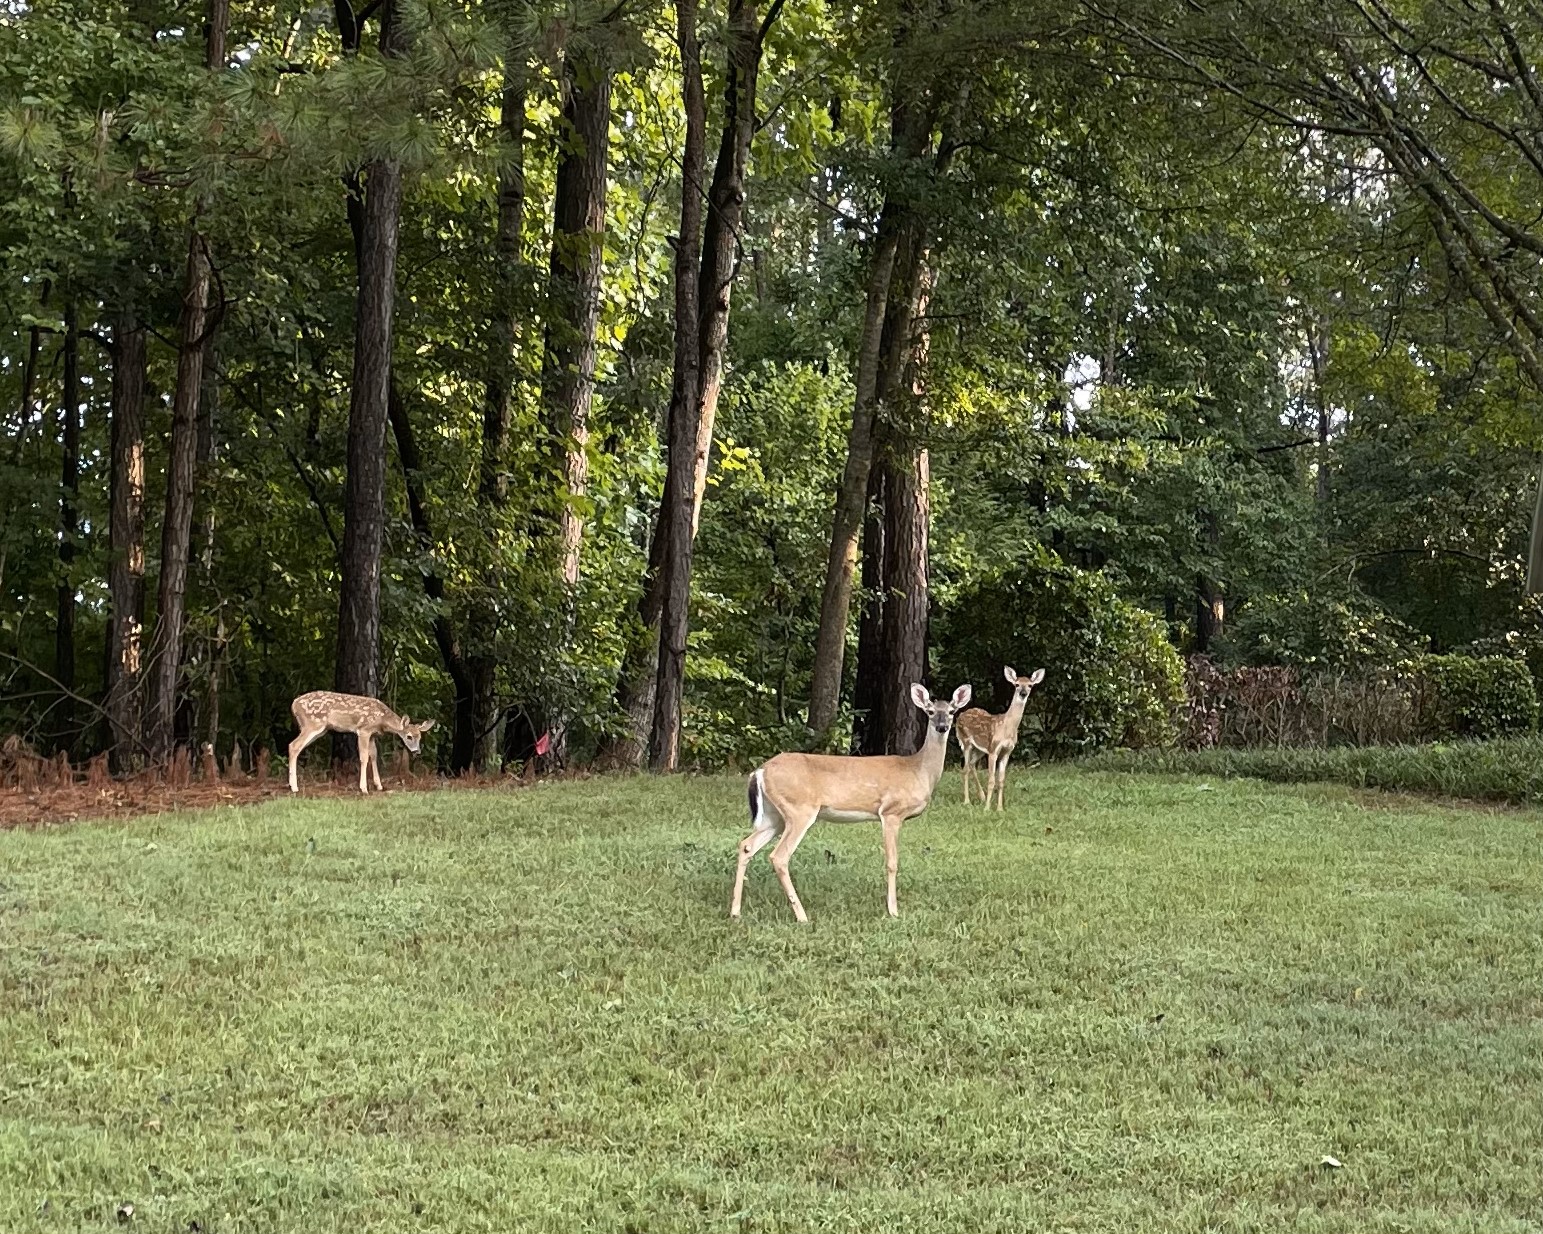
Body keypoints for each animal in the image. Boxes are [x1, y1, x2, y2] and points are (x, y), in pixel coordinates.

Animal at [286, 687, 435, 795]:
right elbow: (364, 757)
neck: (382, 719)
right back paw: (294, 787)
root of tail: (293, 704)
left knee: (295, 746)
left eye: (420, 737)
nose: (417, 751)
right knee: (293, 745)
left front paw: (379, 786)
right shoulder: (363, 730)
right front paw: (363, 788)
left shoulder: (373, 735)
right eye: (409, 736)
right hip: (313, 724)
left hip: (319, 729)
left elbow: (374, 755)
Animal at [728, 678, 969, 919]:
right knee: (779, 856)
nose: (941, 726)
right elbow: (892, 862)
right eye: (930, 711)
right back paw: (802, 916)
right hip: (799, 809)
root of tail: (760, 771)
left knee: (746, 845)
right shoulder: (891, 812)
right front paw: (893, 911)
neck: (918, 770)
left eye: (951, 711)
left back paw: (735, 912)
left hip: (775, 815)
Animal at [950, 666, 1049, 808]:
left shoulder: (1007, 751)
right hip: (965, 742)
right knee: (965, 769)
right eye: (1016, 684)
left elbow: (1001, 781)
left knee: (972, 765)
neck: (1006, 728)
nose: (1023, 693)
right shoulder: (993, 749)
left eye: (1030, 685)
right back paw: (967, 801)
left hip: (980, 749)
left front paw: (999, 808)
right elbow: (991, 780)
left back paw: (982, 796)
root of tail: (960, 715)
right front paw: (987, 808)